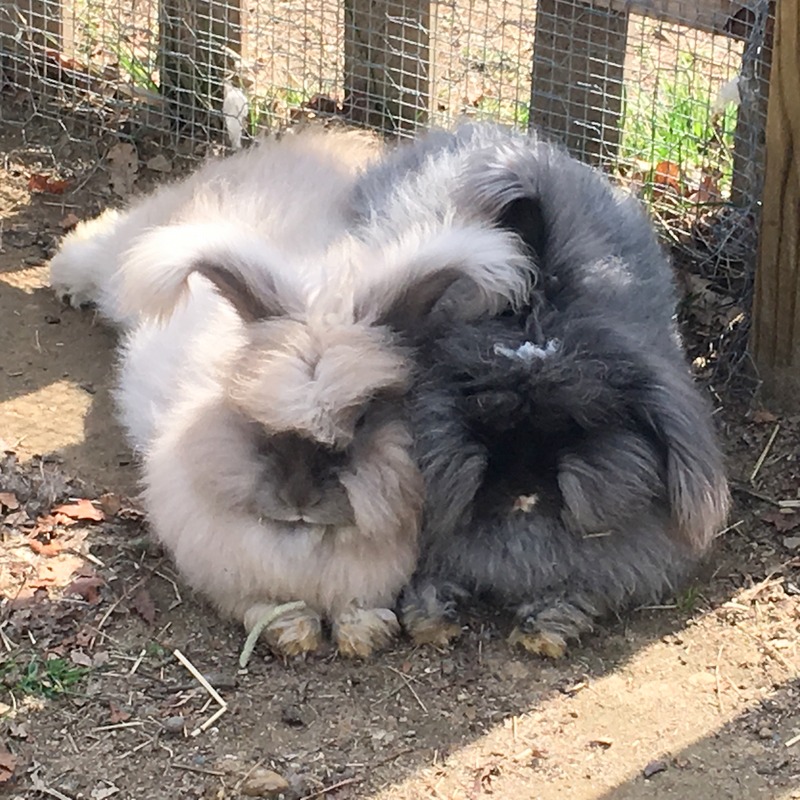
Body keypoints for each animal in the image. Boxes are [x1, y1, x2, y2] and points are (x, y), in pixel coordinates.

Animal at [53, 130, 536, 656]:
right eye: (256, 419)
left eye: (363, 418)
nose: (299, 500)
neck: (306, 546)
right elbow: (262, 605)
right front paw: (294, 632)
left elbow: (359, 605)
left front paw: (364, 633)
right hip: (131, 254)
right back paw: (65, 278)